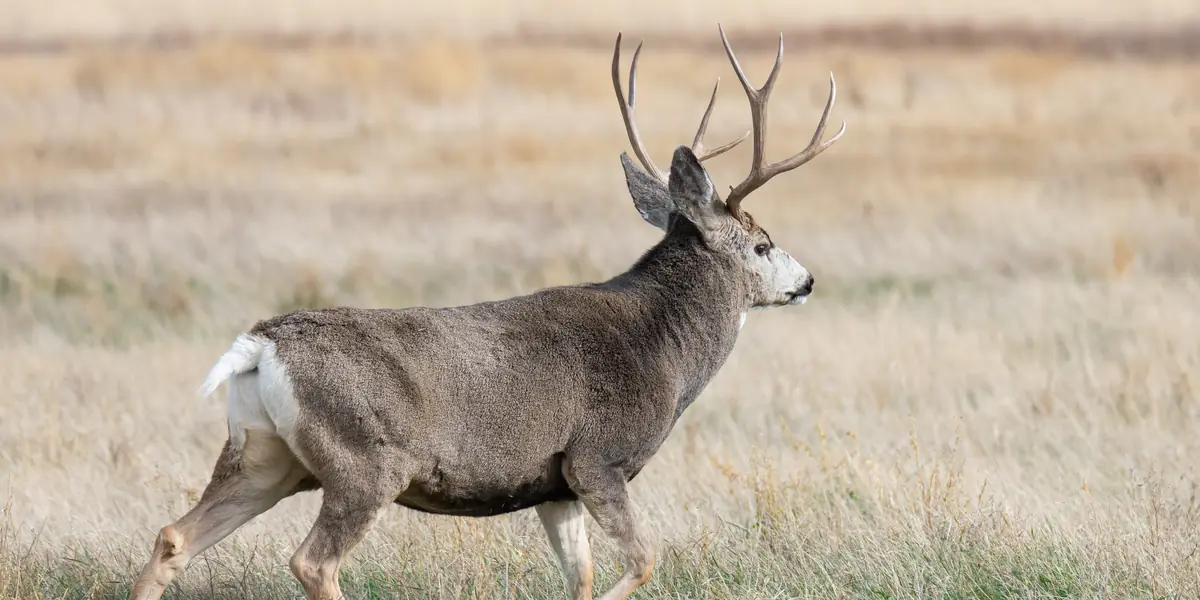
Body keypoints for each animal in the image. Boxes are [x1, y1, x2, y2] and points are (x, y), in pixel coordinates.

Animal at [129, 24, 844, 600]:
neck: (663, 347)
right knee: (311, 562)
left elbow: (582, 578)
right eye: (762, 243)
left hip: (265, 457)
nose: (808, 281)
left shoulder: (553, 485)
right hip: (364, 459)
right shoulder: (597, 458)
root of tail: (262, 345)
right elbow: (642, 561)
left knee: (173, 537)